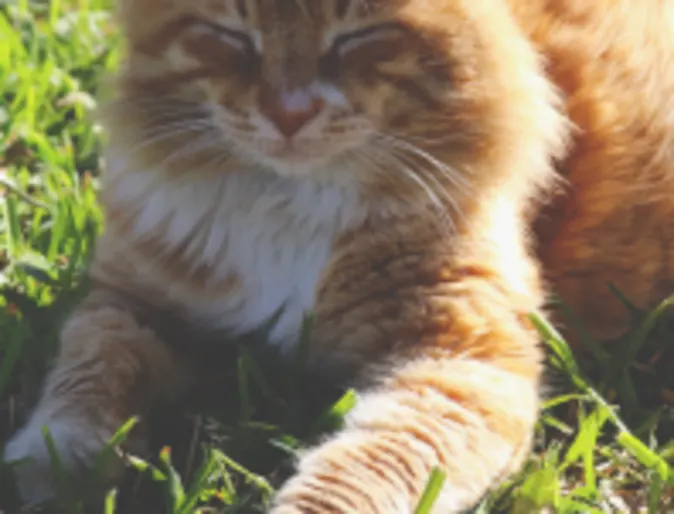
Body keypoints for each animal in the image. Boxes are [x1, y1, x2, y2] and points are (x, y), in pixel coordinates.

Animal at [6, 0, 674, 510]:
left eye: (358, 38)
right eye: (232, 36)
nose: (289, 113)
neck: (290, 203)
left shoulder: (460, 359)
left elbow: (365, 466)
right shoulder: (134, 302)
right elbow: (90, 374)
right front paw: (53, 465)